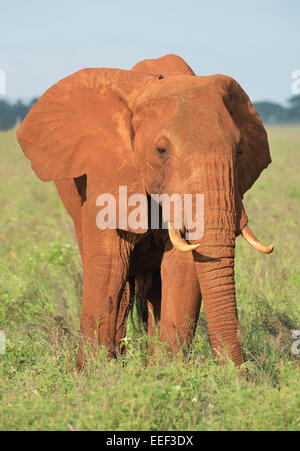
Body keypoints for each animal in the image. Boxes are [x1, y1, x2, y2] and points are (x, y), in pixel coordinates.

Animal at [16, 53, 274, 370]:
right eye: (161, 151)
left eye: (239, 152)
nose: (242, 376)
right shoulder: (105, 175)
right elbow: (109, 266)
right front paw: (93, 375)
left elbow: (182, 269)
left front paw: (167, 373)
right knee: (122, 286)